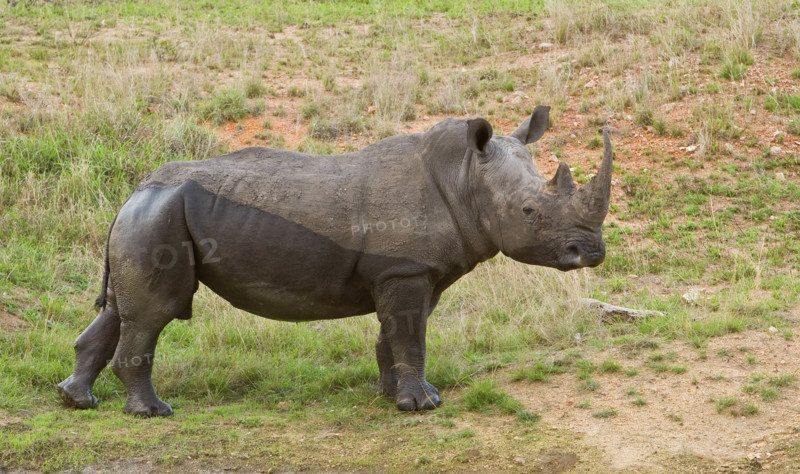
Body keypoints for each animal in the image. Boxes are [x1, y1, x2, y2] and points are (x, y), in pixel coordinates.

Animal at [58, 106, 614, 416]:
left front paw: (393, 395)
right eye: (529, 212)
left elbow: (396, 334)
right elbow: (410, 334)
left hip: (150, 217)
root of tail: (132, 193)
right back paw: (153, 413)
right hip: (161, 216)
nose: (591, 252)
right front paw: (422, 407)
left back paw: (77, 401)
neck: (465, 178)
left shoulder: (412, 271)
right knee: (156, 313)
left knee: (120, 309)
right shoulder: (404, 268)